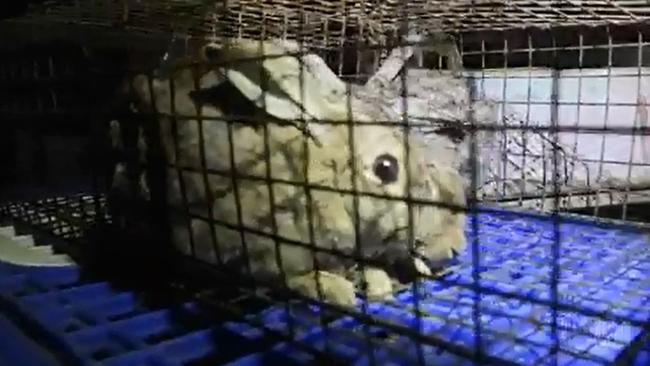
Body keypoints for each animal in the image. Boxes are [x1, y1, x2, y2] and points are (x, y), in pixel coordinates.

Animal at [123, 37, 466, 308]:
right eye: (386, 168)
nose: (454, 246)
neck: (317, 178)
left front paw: (378, 284)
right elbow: (292, 279)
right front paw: (337, 292)